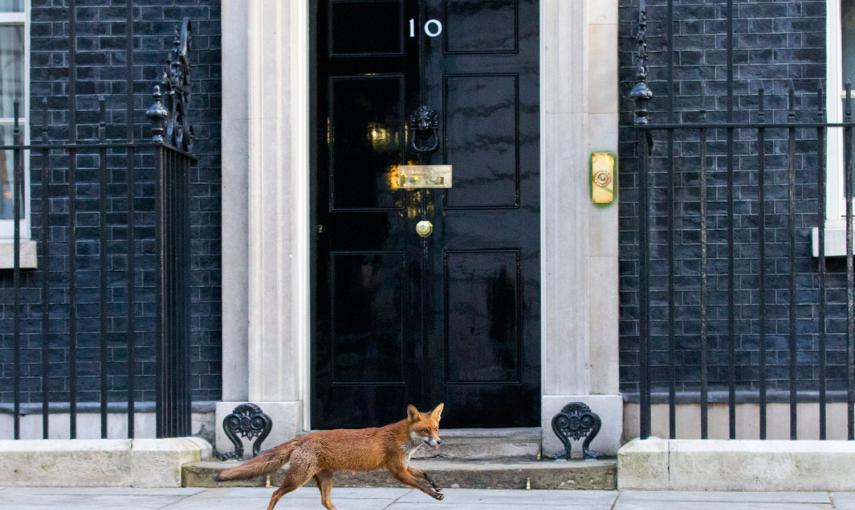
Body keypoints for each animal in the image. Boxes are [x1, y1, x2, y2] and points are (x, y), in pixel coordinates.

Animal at [216, 402, 448, 510]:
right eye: (425, 431)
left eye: (436, 429)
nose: (439, 442)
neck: (403, 439)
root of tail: (304, 437)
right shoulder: (397, 470)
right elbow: (420, 485)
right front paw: (434, 494)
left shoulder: (404, 466)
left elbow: (424, 474)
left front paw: (437, 486)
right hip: (298, 479)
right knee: (275, 493)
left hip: (325, 478)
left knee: (325, 502)